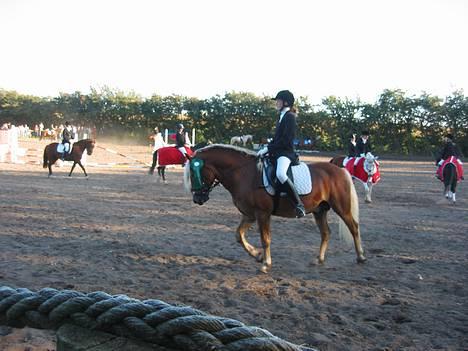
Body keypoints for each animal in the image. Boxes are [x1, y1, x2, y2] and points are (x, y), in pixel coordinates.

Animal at [184, 144, 366, 274]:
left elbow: (265, 239)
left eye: (194, 172)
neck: (243, 173)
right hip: (319, 210)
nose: (197, 199)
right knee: (326, 233)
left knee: (354, 227)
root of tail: (340, 170)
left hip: (341, 208)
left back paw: (361, 257)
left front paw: (266, 264)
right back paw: (319, 260)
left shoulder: (262, 214)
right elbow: (238, 235)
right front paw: (257, 255)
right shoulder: (250, 214)